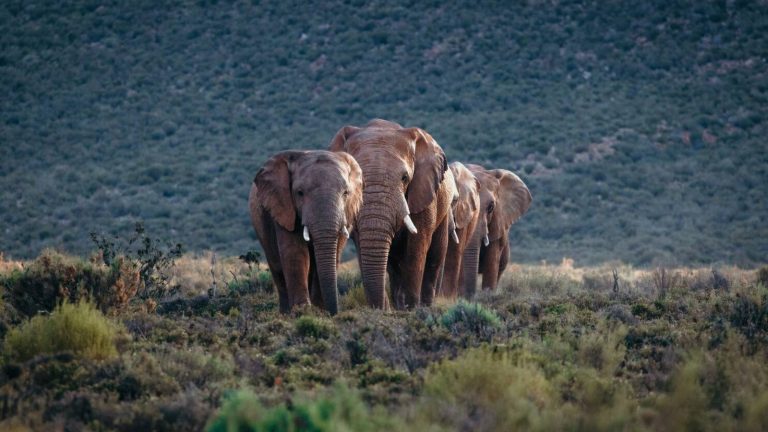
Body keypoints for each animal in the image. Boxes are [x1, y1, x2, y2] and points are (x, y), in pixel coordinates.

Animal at [249, 149, 364, 314]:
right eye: (300, 193)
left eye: (346, 193)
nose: (334, 313)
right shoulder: (283, 206)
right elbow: (295, 252)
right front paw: (302, 311)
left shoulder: (347, 212)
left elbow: (334, 250)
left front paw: (319, 309)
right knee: (276, 266)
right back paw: (285, 313)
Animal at [328, 118, 452, 310]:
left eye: (405, 178)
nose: (382, 307)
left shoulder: (423, 191)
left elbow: (417, 245)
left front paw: (410, 308)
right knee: (394, 265)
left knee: (434, 256)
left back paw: (423, 306)